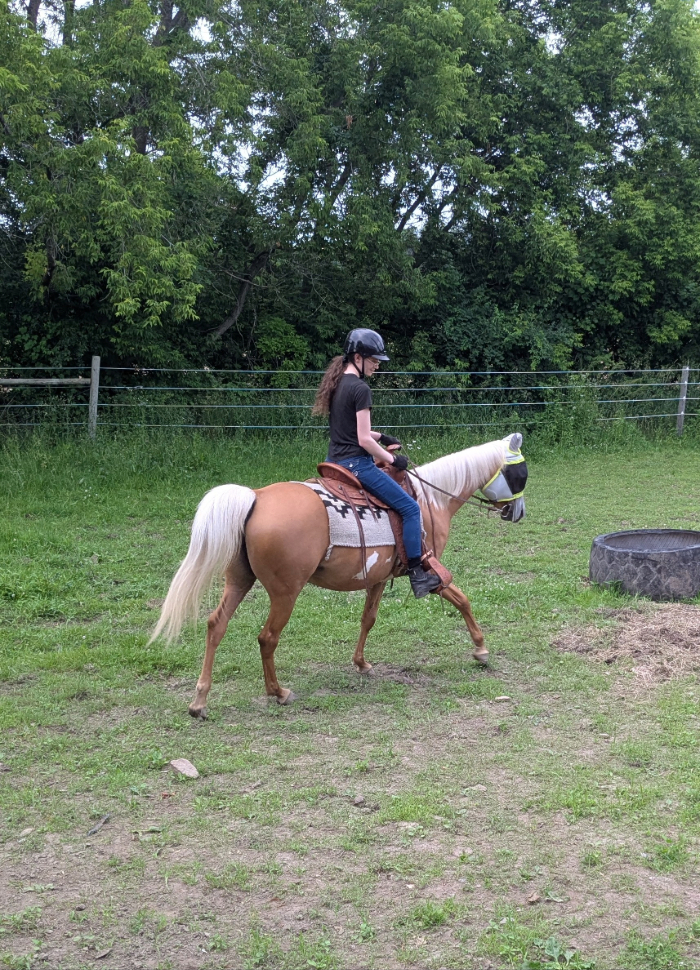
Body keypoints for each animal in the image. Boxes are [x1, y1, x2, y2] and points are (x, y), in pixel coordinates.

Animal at [151, 433, 527, 717]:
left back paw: (200, 701)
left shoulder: (377, 577)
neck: (430, 500)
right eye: (520, 473)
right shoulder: (429, 569)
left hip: (239, 580)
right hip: (285, 593)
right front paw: (480, 649)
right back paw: (278, 692)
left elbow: (368, 618)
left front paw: (361, 663)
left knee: (216, 625)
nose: (518, 513)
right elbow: (462, 600)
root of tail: (255, 498)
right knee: (267, 638)